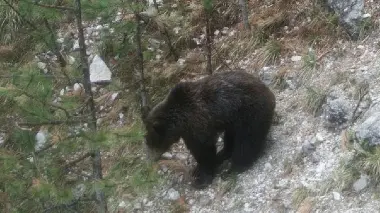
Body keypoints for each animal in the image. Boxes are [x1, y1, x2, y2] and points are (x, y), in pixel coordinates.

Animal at [142, 70, 276, 189]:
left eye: (150, 140)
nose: (150, 161)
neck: (181, 121)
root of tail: (269, 92)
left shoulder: (198, 124)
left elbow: (204, 149)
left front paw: (201, 178)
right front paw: (198, 170)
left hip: (249, 113)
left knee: (246, 141)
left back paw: (233, 168)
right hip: (233, 120)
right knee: (231, 137)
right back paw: (223, 154)